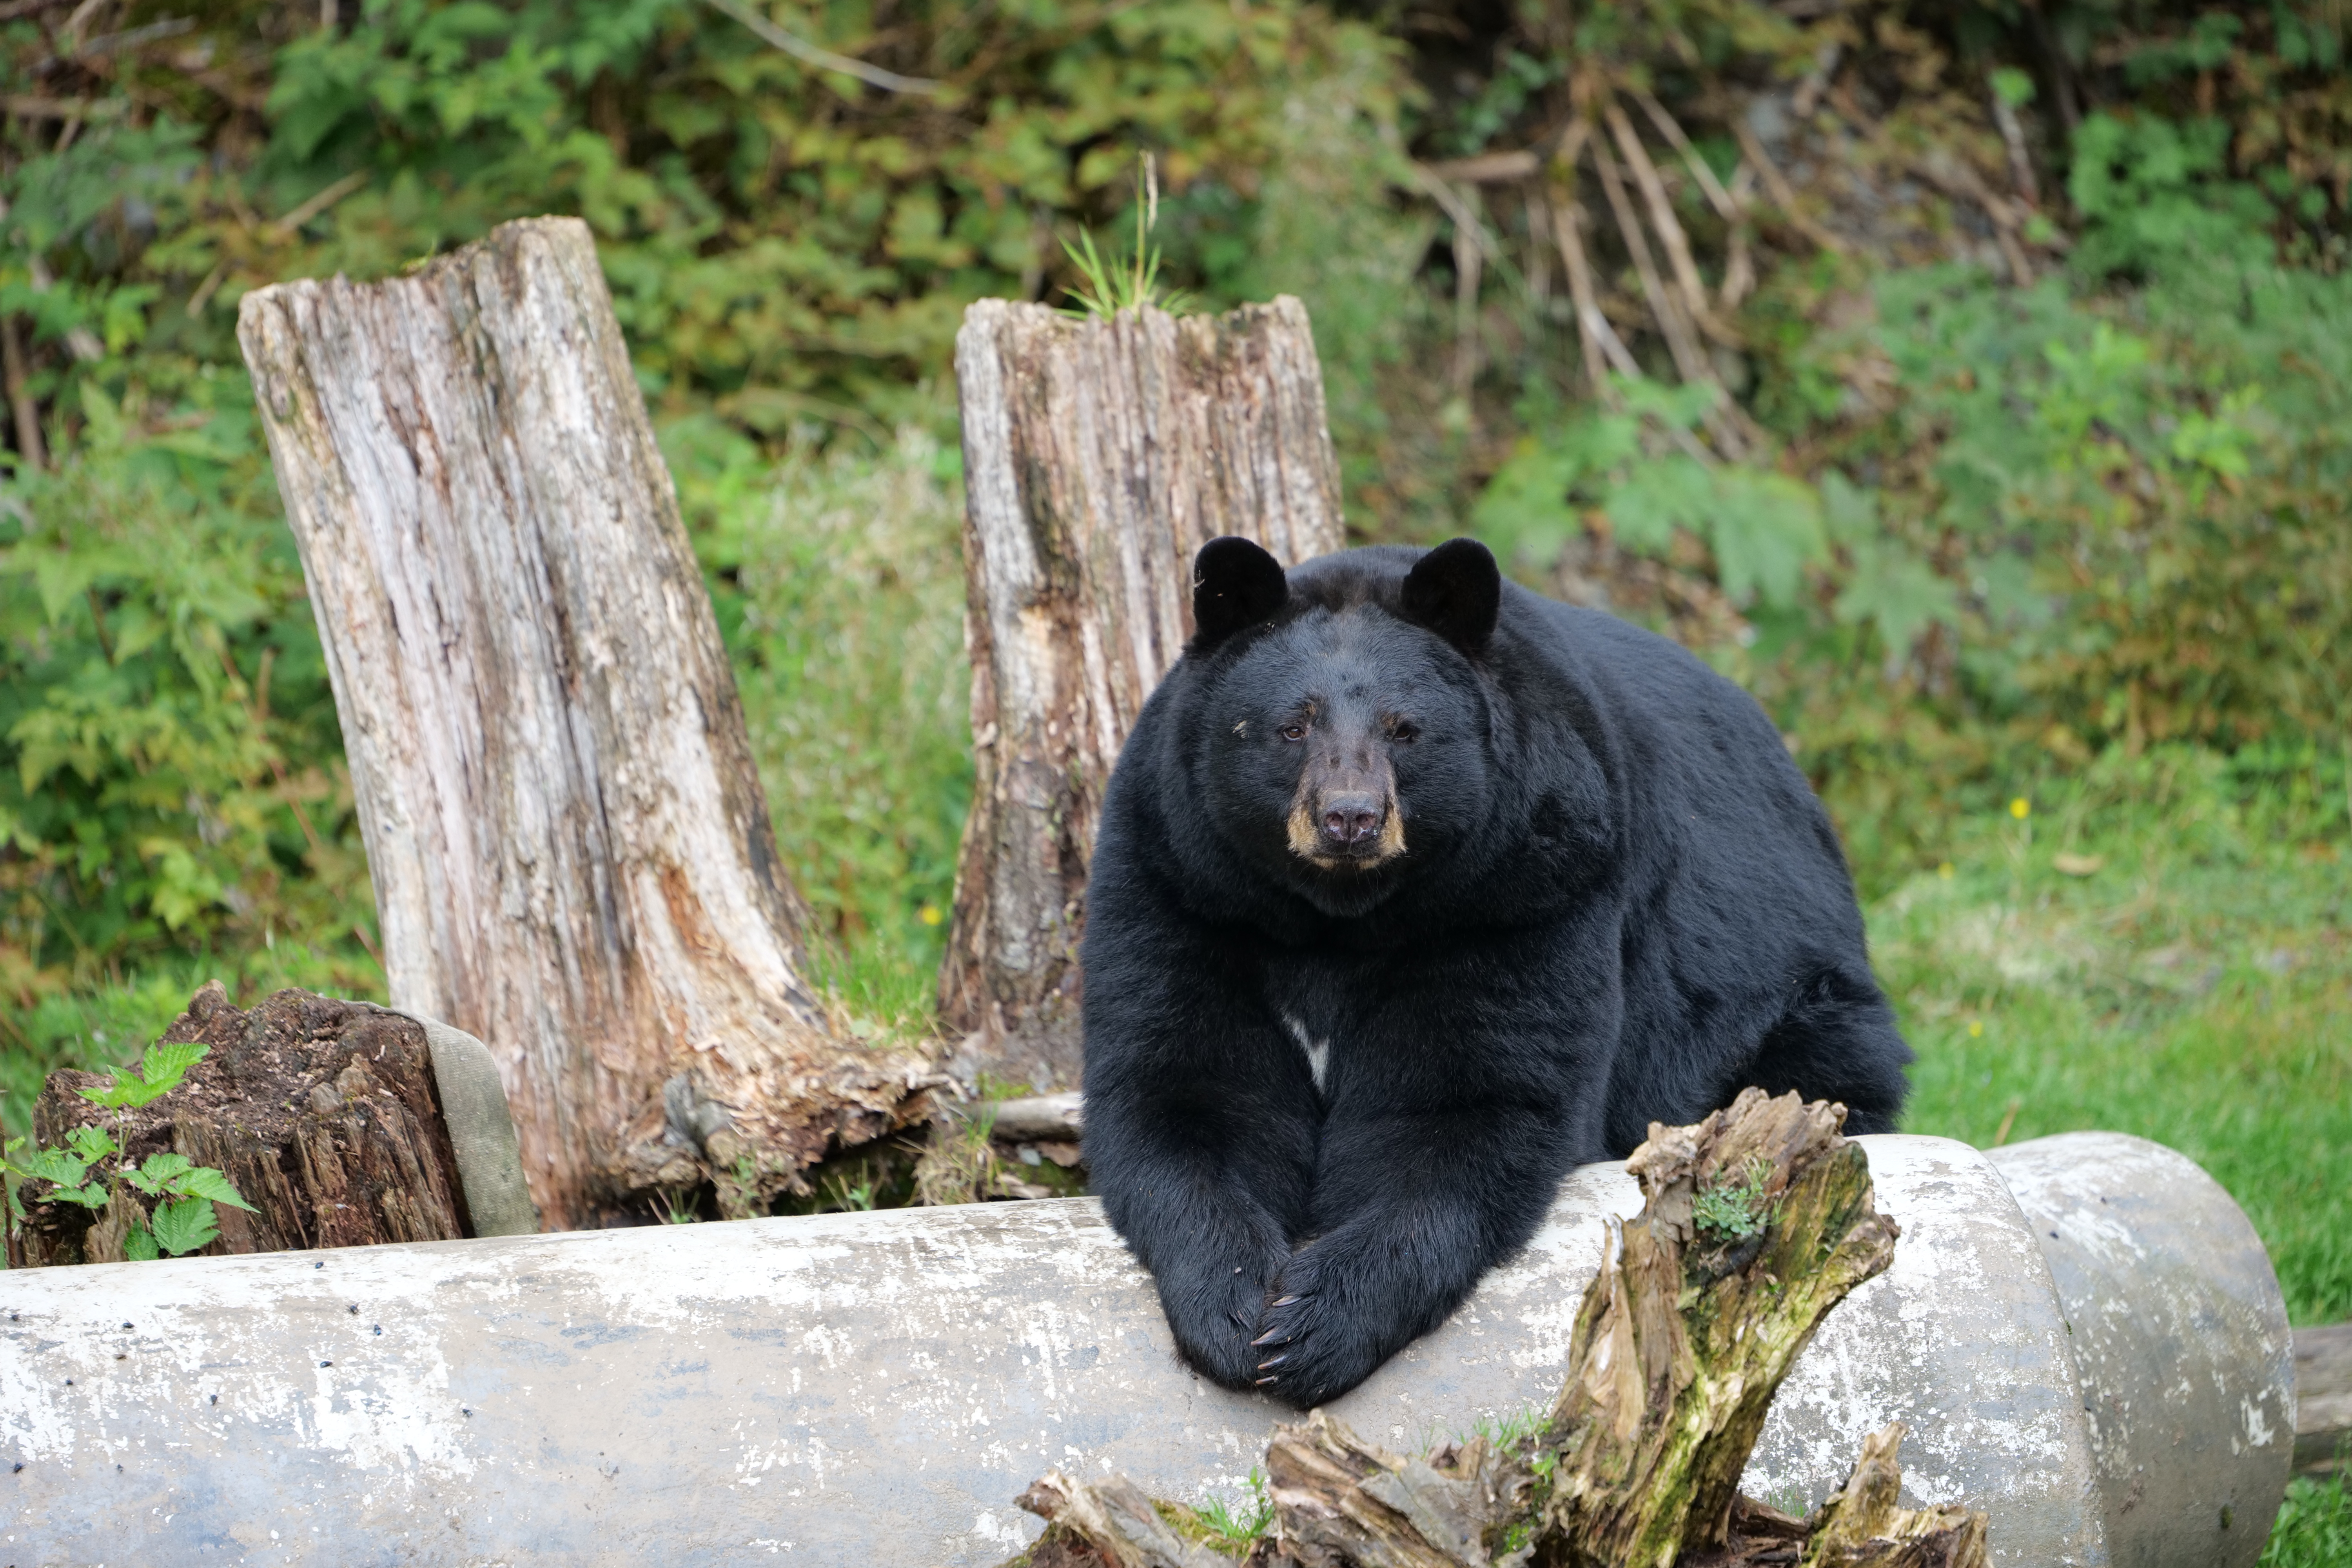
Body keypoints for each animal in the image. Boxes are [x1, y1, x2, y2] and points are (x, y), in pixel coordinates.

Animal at [1078, 535, 1910, 1409]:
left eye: (1405, 729)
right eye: (1291, 726)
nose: (1350, 817)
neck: (1340, 917)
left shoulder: (1524, 889)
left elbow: (1466, 1105)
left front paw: (1314, 1326)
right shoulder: (1185, 882)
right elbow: (1186, 1086)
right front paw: (1236, 1310)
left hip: (1787, 985)